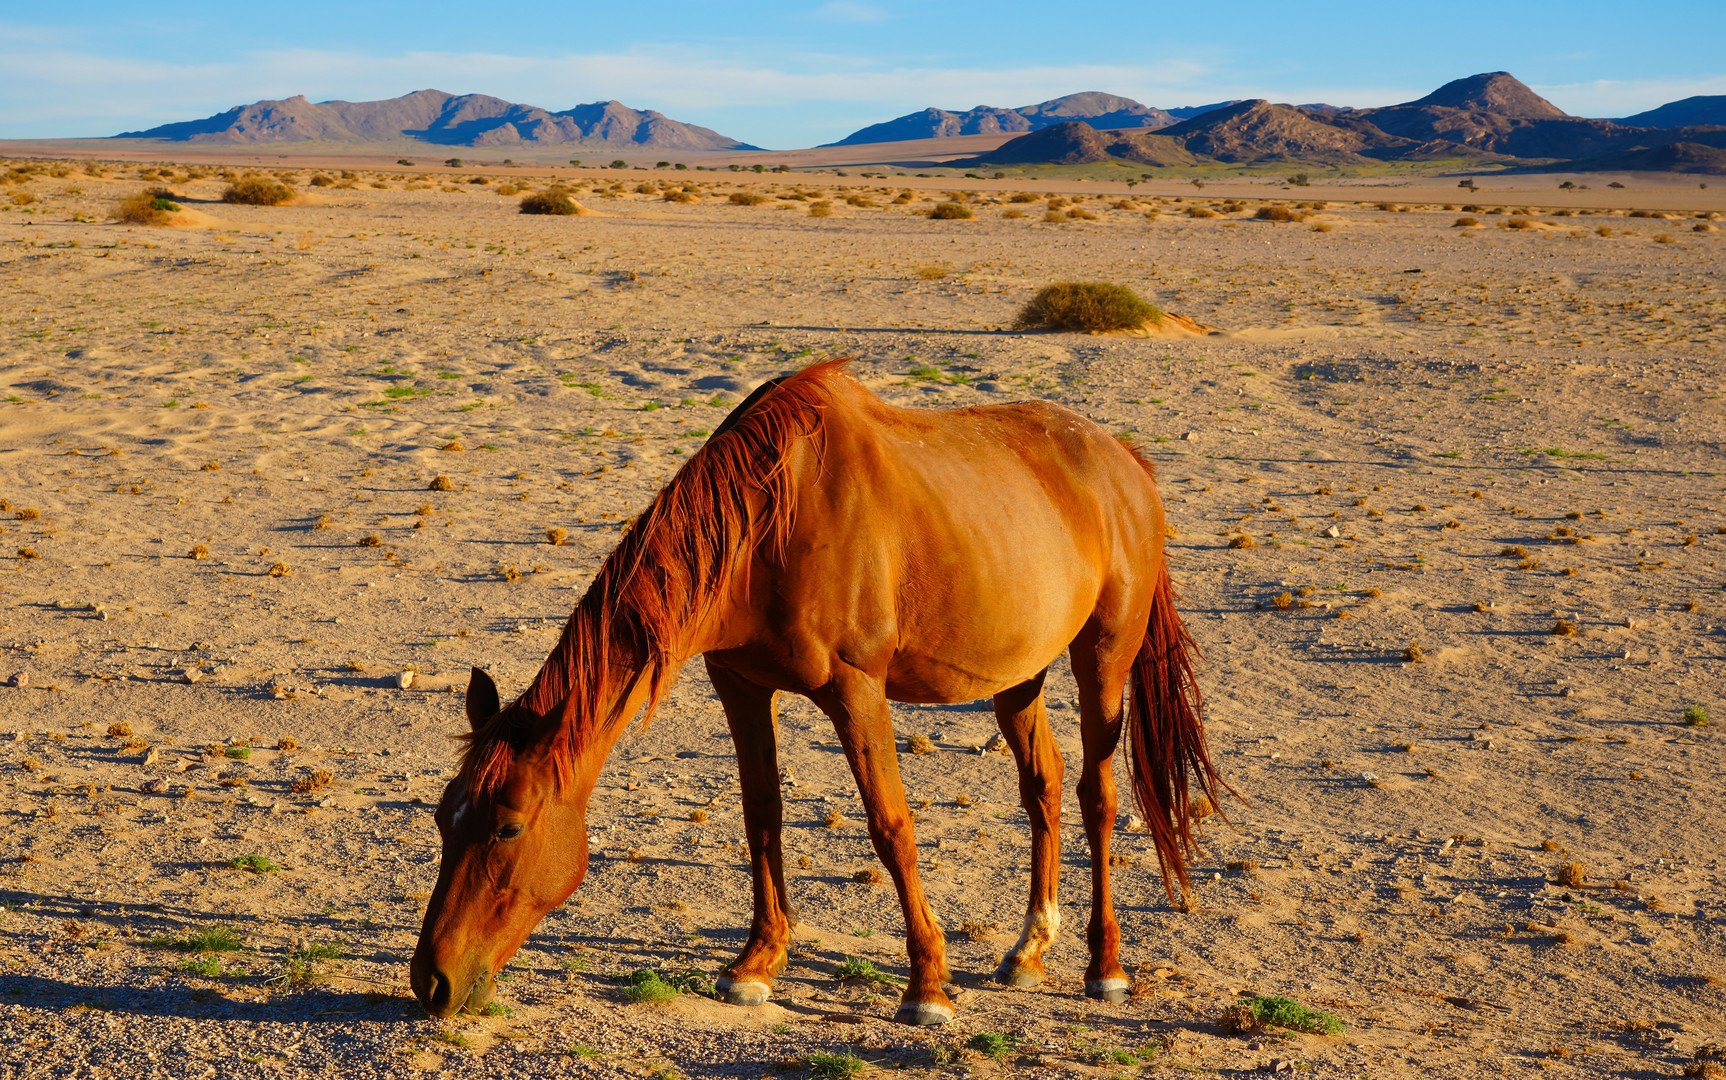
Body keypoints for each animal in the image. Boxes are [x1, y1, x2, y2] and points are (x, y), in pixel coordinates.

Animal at [410, 357, 1228, 1021]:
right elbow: (761, 817)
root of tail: (1125, 461)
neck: (767, 527)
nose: (432, 982)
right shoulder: (739, 684)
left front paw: (926, 986)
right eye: (444, 819)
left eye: (508, 828)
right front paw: (755, 965)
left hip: (1104, 658)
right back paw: (1029, 951)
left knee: (1098, 796)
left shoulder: (856, 689)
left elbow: (891, 827)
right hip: (1018, 674)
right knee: (1045, 788)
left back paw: (1105, 966)